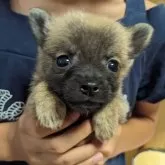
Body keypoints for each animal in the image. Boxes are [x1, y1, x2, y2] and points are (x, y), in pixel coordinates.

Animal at [26, 8, 154, 141]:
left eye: (113, 65)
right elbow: (42, 85)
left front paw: (106, 121)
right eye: (62, 61)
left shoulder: (123, 108)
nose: (90, 87)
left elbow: (114, 100)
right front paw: (51, 106)